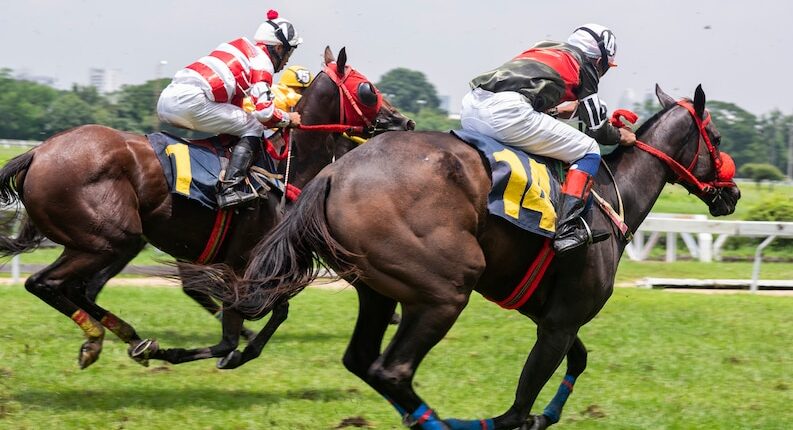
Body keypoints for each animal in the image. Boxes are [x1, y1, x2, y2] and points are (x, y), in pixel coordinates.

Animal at [0, 46, 413, 370]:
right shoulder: (245, 262)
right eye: (368, 88)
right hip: (111, 238)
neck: (282, 165)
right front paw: (226, 350)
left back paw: (134, 340)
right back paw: (99, 340)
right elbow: (253, 315)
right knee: (47, 283)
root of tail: (38, 153)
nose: (403, 121)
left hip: (102, 241)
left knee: (80, 288)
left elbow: (269, 312)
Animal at [184, 84, 741, 429]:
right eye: (715, 137)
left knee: (363, 360)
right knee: (393, 370)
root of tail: (334, 173)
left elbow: (578, 360)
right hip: (443, 289)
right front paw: (524, 417)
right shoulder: (560, 320)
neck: (609, 195)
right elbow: (521, 403)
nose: (732, 193)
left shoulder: (548, 314)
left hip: (378, 290)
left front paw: (546, 415)